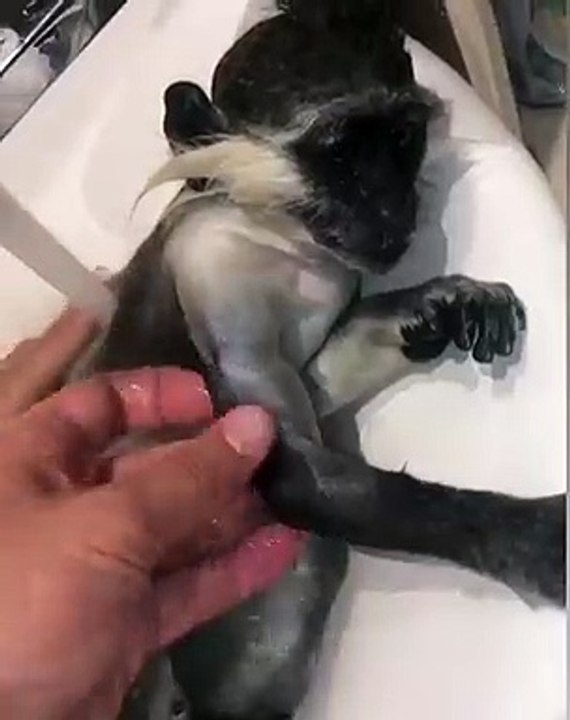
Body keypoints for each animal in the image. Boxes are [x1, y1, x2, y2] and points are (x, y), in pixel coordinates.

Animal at [76, 1, 565, 718]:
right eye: (340, 152)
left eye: (402, 140)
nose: (395, 207)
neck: (282, 243)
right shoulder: (212, 264)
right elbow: (283, 467)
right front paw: (530, 537)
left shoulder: (335, 288)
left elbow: (319, 385)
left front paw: (446, 304)